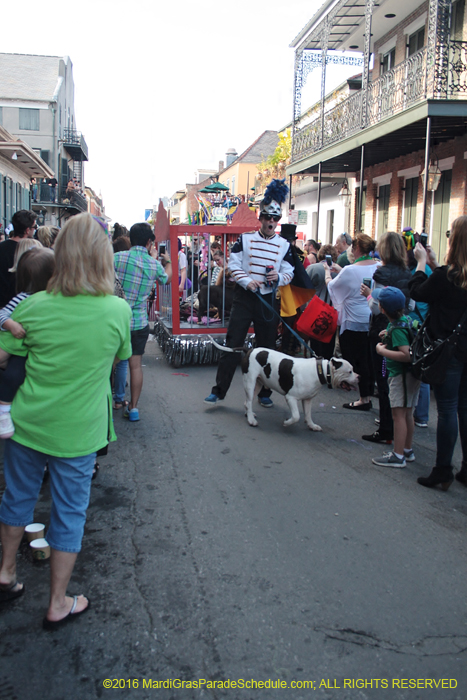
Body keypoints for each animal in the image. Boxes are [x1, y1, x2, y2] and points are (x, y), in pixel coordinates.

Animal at [208, 340, 358, 432]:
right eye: (349, 371)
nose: (359, 377)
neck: (319, 370)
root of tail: (250, 349)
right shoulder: (290, 398)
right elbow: (296, 416)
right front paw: (287, 422)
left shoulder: (307, 399)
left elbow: (308, 414)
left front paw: (312, 425)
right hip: (250, 383)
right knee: (249, 401)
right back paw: (251, 419)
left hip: (258, 384)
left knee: (247, 402)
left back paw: (249, 414)